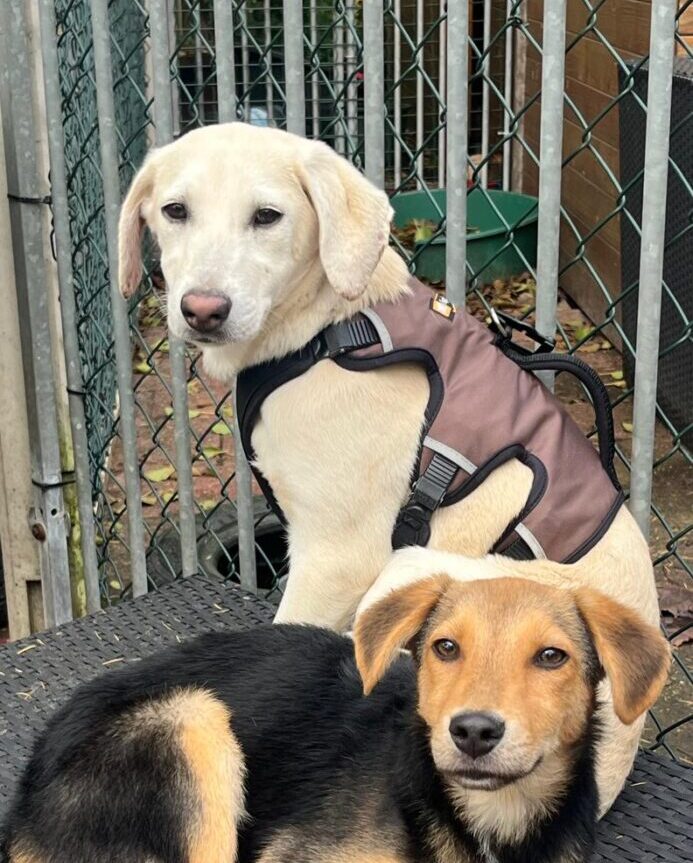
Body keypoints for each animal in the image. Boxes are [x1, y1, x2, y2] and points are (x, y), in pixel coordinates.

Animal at [117, 122, 660, 808]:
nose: (202, 310)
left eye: (267, 216)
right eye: (174, 211)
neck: (329, 329)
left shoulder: (338, 557)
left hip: (413, 564)